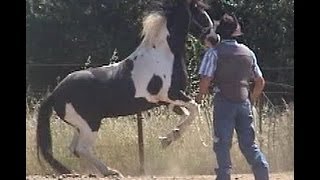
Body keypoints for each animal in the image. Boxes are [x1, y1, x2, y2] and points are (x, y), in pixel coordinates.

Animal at [36, 0, 216, 177]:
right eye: (201, 14)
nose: (215, 38)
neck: (162, 55)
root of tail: (55, 93)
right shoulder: (170, 94)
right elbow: (195, 109)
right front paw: (169, 138)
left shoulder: (168, 101)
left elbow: (186, 114)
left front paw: (169, 138)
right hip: (90, 124)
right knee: (82, 148)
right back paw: (110, 171)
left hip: (80, 126)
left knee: (75, 149)